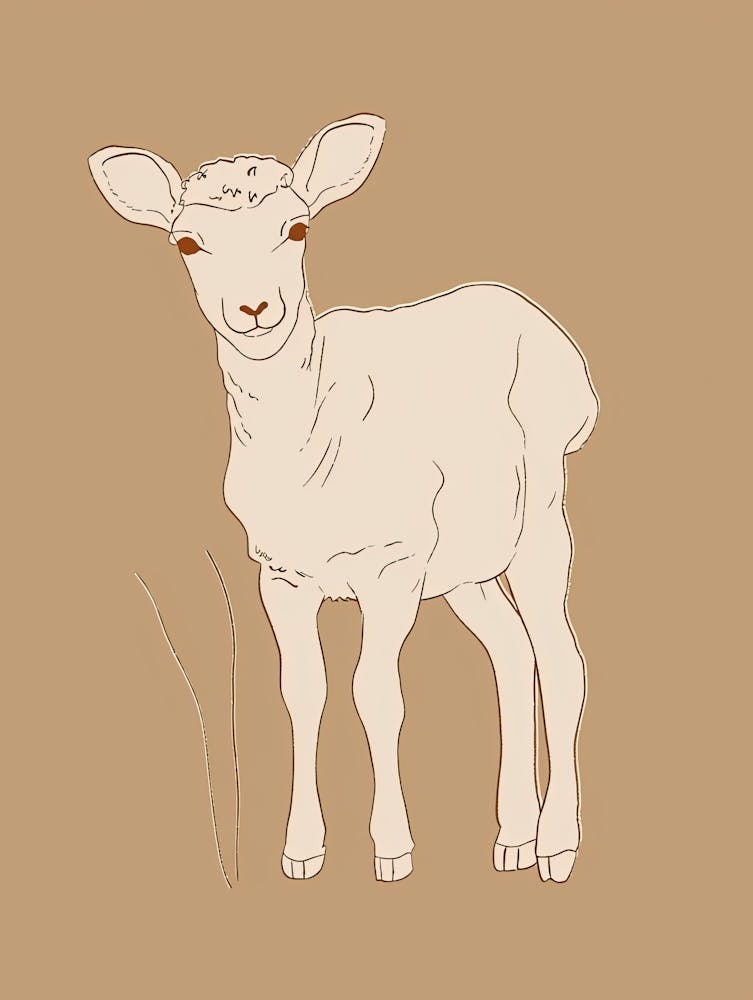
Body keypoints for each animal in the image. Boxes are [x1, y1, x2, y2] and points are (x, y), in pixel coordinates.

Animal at [89, 114, 599, 884]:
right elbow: (303, 693)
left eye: (296, 227)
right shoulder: (279, 574)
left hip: (540, 512)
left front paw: (392, 851)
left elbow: (375, 694)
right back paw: (509, 841)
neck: (307, 457)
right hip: (464, 565)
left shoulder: (390, 564)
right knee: (511, 653)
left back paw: (554, 847)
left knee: (562, 658)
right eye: (187, 240)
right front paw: (300, 853)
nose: (254, 308)